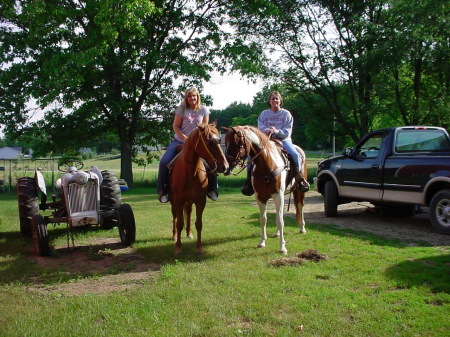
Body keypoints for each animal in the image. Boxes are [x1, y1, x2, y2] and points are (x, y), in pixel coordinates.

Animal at [168, 121, 229, 255]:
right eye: (210, 142)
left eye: (219, 140)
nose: (225, 167)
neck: (191, 172)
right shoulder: (178, 200)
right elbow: (179, 223)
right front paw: (178, 248)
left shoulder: (201, 200)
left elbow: (199, 223)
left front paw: (199, 248)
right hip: (173, 201)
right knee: (175, 216)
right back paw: (174, 236)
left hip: (189, 201)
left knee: (188, 212)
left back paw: (189, 234)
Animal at [222, 124, 308, 253]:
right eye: (226, 143)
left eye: (236, 143)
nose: (227, 167)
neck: (267, 164)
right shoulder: (260, 197)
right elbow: (263, 219)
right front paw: (262, 242)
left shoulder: (278, 195)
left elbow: (280, 221)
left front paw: (282, 247)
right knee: (279, 213)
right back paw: (277, 233)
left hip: (299, 190)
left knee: (300, 206)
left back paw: (302, 228)